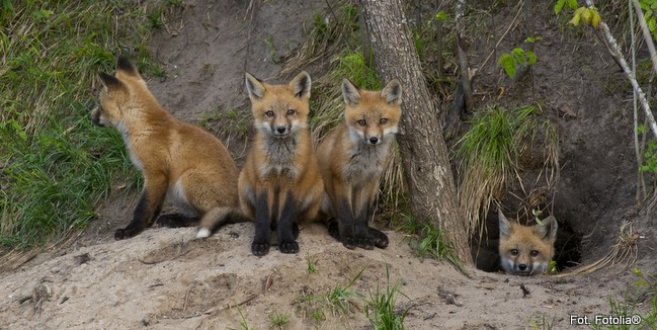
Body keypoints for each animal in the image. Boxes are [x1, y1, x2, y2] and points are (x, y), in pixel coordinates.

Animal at [91, 56, 237, 240]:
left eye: (99, 105)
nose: (90, 118)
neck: (144, 128)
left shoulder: (155, 173)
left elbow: (142, 208)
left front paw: (131, 230)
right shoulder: (161, 179)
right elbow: (155, 205)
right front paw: (148, 224)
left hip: (186, 179)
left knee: (208, 217)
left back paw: (176, 220)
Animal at [316, 78, 402, 250]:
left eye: (383, 120)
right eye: (362, 122)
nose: (373, 139)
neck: (366, 161)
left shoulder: (368, 181)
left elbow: (361, 217)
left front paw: (363, 237)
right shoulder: (342, 179)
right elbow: (346, 216)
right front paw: (349, 238)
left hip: (375, 189)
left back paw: (374, 236)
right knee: (330, 219)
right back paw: (336, 231)